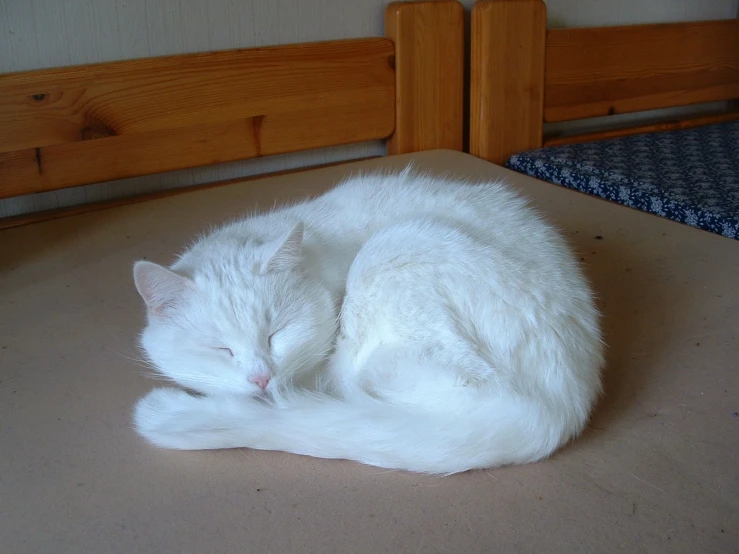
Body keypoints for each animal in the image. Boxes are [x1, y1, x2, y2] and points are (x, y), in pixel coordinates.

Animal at [133, 166, 604, 472]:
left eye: (276, 335)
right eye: (221, 349)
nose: (262, 378)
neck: (320, 262)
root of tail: (556, 414)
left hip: (393, 250)